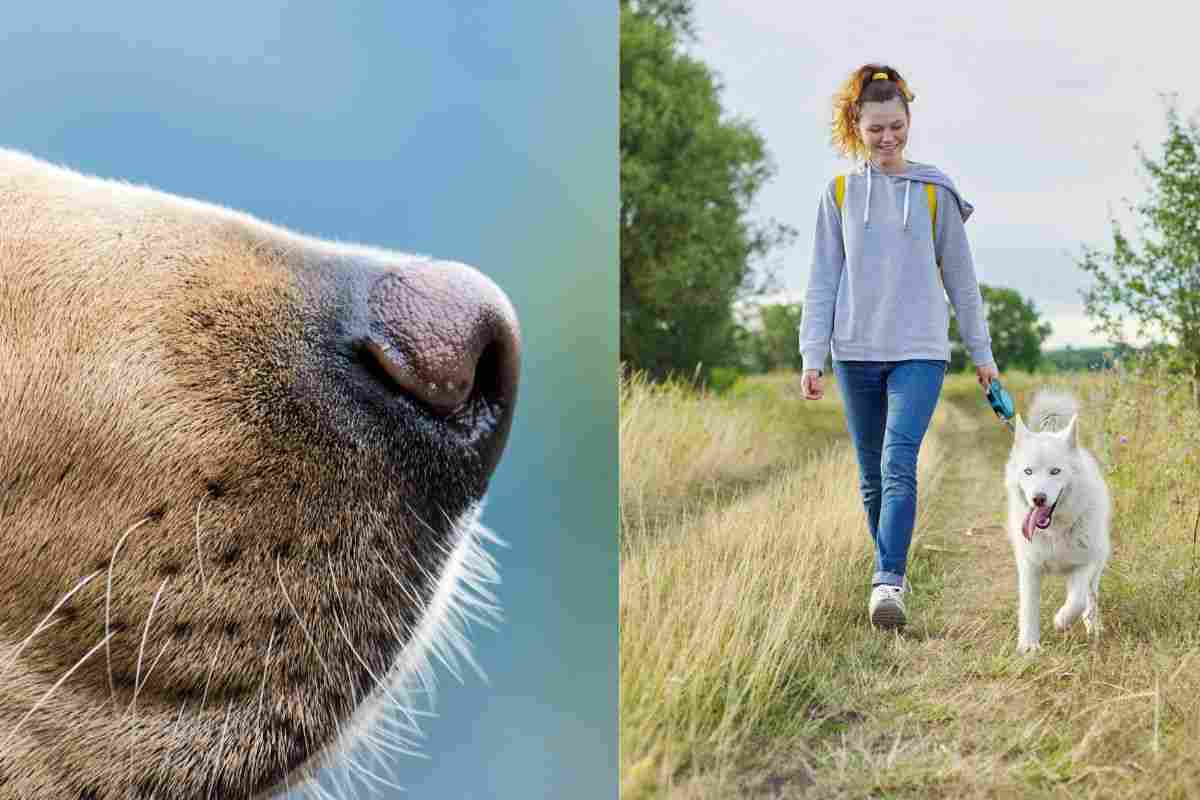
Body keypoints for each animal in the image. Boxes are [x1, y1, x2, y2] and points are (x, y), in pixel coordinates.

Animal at [998, 391, 1108, 652]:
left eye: (1055, 471)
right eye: (1028, 472)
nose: (1038, 499)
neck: (1054, 531)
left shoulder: (1085, 564)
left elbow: (1077, 600)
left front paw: (1061, 621)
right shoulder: (1029, 568)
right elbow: (1029, 608)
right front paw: (1029, 645)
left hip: (1097, 561)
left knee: (1090, 597)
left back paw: (1093, 626)